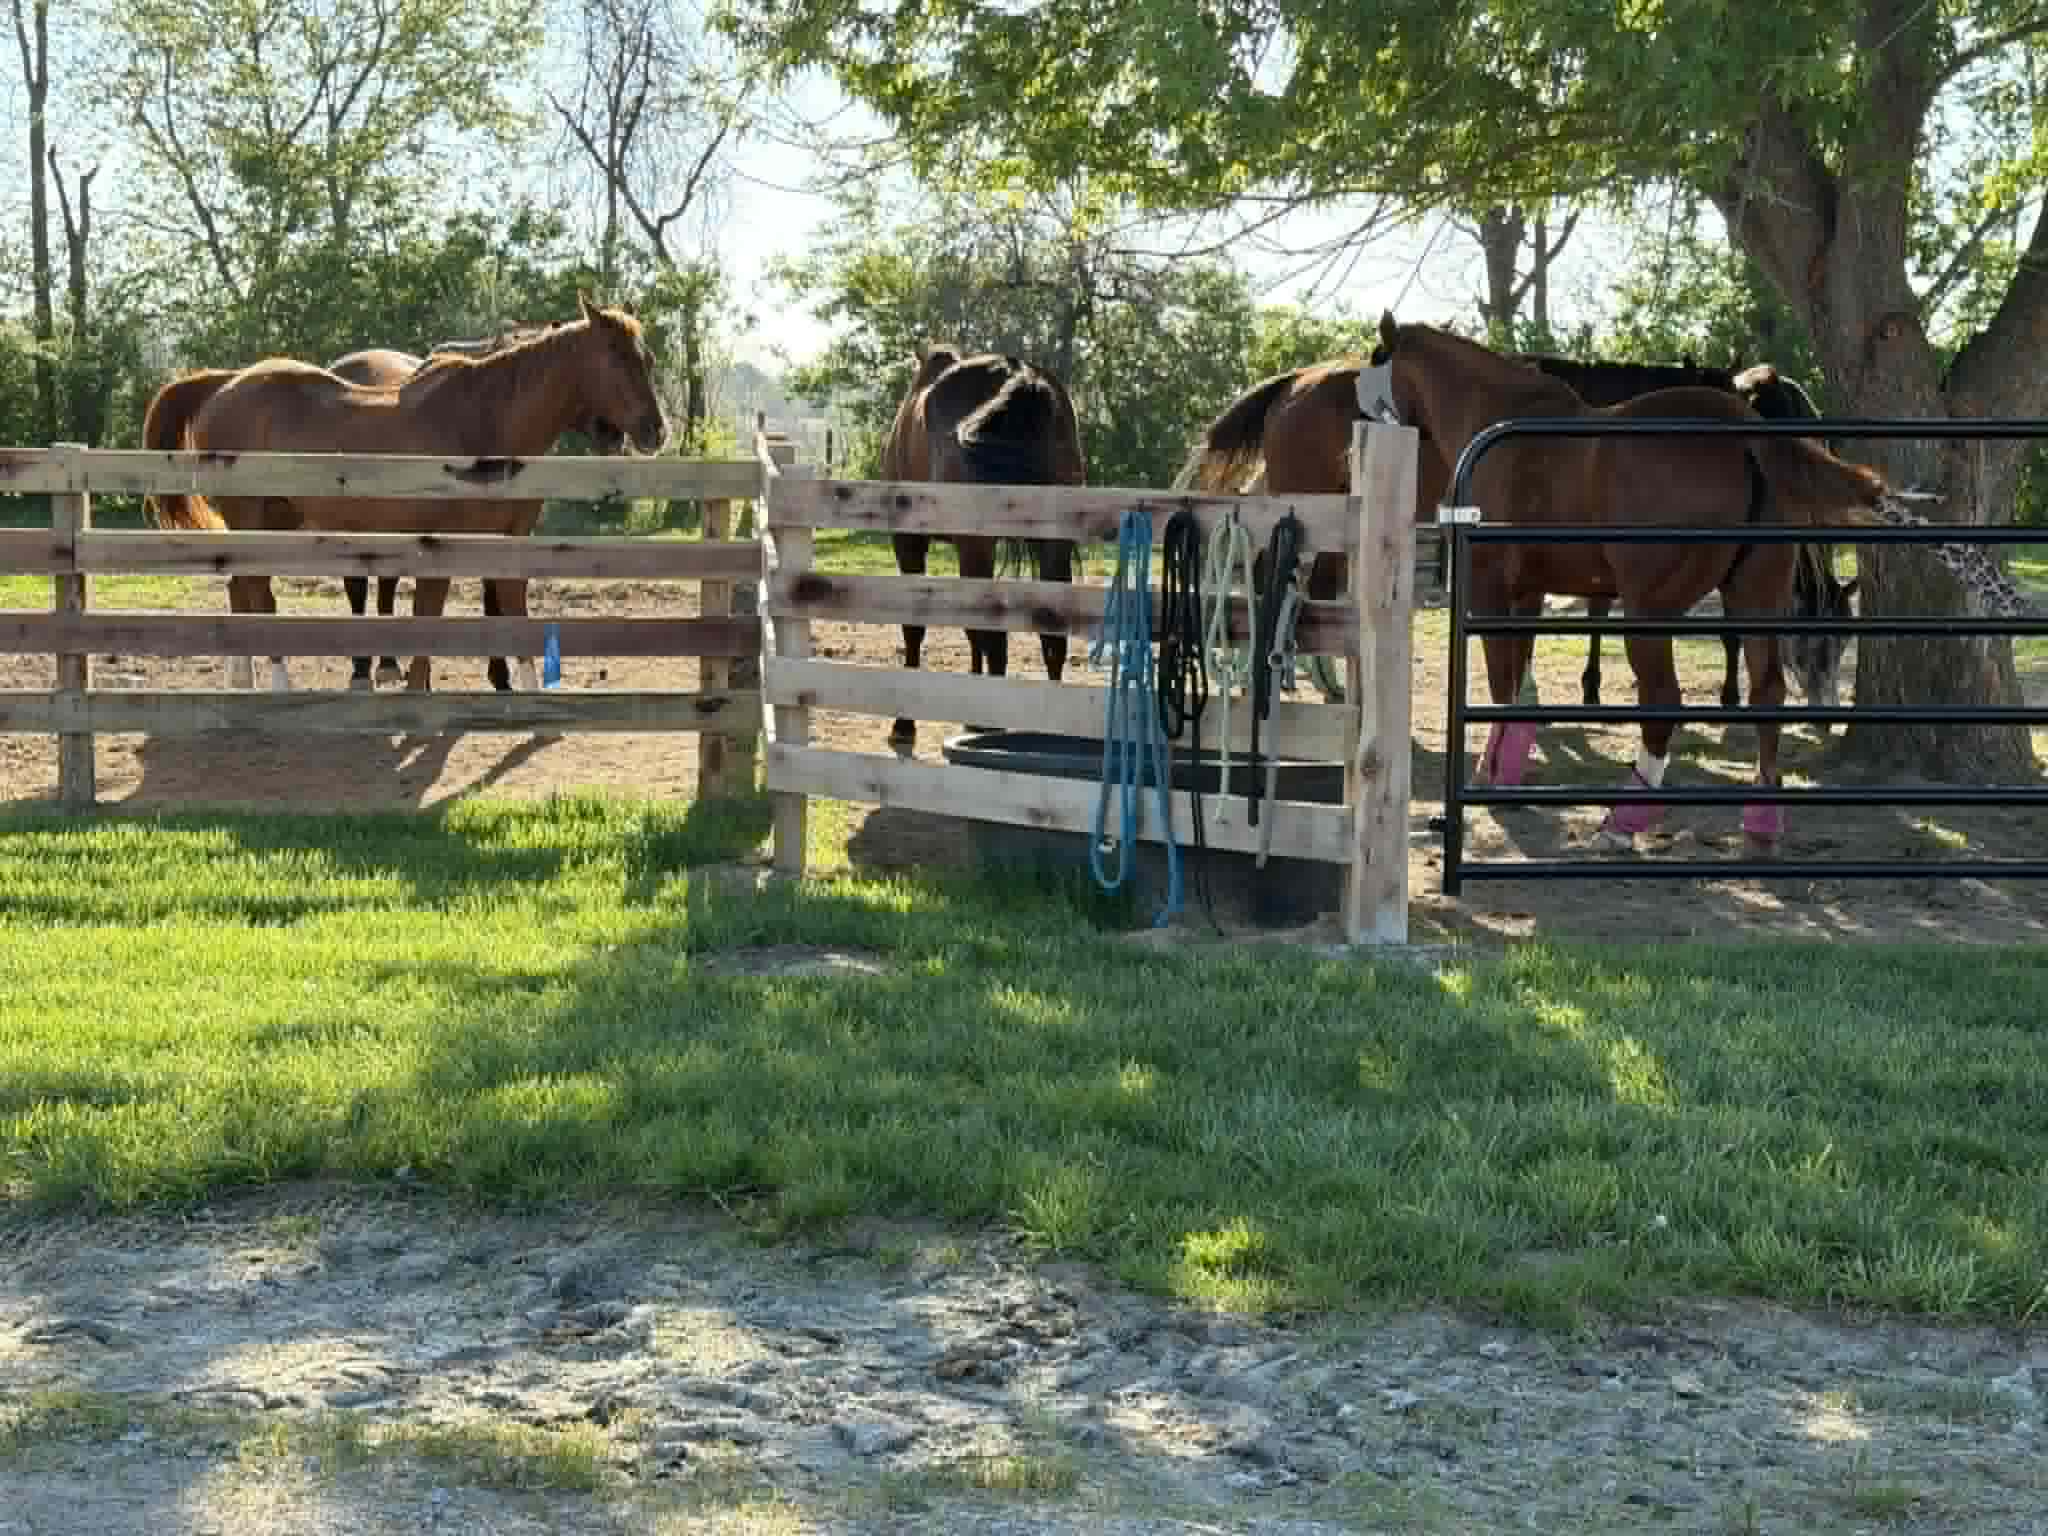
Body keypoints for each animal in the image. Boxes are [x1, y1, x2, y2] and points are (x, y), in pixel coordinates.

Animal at [142, 296, 664, 693]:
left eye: (648, 359)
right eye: (615, 357)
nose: (655, 431)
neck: (487, 421)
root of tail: (224, 384)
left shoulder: (509, 540)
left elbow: (513, 611)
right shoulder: (443, 545)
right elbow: (428, 614)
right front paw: (417, 688)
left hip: (275, 519)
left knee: (240, 588)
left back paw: (241, 680)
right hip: (253, 518)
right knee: (258, 595)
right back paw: (278, 684)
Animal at [880, 345, 1085, 745]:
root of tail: (1018, 374)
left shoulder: (909, 541)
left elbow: (918, 627)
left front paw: (905, 723)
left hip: (976, 544)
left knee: (990, 631)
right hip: (1052, 544)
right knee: (1051, 637)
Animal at [1360, 310, 1887, 851]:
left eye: (1377, 357)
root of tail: (1741, 433)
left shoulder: (1489, 592)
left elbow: (1501, 683)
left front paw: (1491, 777)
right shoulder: (1528, 592)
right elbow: (1518, 677)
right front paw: (1505, 770)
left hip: (1649, 611)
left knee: (1665, 701)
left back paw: (1623, 820)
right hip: (1753, 596)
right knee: (1767, 693)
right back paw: (1761, 823)